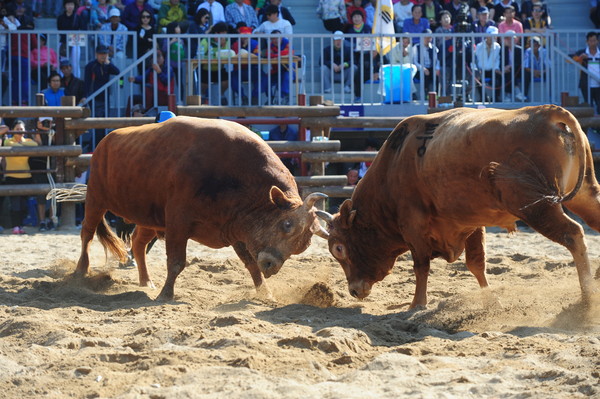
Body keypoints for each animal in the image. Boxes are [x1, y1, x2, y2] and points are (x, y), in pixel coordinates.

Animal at [78, 115, 328, 300]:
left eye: (303, 245)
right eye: (287, 224)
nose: (271, 265)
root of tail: (105, 141)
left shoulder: (236, 228)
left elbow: (250, 264)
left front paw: (265, 294)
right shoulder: (178, 222)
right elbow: (176, 262)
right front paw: (166, 294)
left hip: (150, 219)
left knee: (138, 243)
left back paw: (146, 281)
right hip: (96, 199)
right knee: (87, 234)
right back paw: (80, 271)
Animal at [316, 104, 600, 308]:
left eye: (339, 248)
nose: (354, 290)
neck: (394, 165)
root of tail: (548, 113)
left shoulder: (413, 225)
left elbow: (421, 266)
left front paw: (417, 304)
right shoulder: (471, 223)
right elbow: (476, 263)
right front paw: (490, 300)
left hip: (535, 206)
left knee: (573, 234)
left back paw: (587, 298)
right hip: (584, 194)